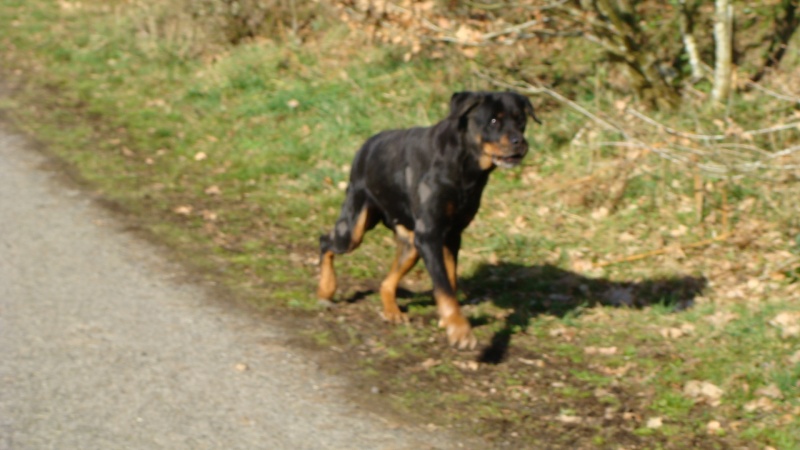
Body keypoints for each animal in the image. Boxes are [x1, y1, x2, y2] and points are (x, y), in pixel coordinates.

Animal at [316, 91, 540, 350]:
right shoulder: (430, 234)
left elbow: (450, 280)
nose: (518, 142)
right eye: (494, 120)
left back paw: (392, 310)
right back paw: (326, 290)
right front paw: (460, 330)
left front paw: (448, 321)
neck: (465, 165)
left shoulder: (452, 234)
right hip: (355, 226)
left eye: (521, 120)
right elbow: (443, 285)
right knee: (326, 242)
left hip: (411, 244)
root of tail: (365, 146)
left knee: (386, 281)